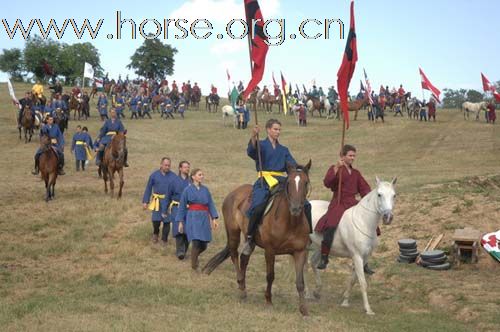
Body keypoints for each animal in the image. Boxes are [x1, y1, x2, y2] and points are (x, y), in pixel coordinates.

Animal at [203, 161, 312, 316]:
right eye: (289, 183)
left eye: (305, 182)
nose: (296, 208)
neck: (290, 222)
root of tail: (234, 193)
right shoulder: (270, 251)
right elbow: (270, 275)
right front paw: (268, 301)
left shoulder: (300, 252)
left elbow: (300, 281)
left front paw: (304, 310)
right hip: (233, 233)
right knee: (234, 255)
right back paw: (241, 288)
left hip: (251, 239)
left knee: (244, 258)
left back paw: (243, 288)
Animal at [306, 178, 396, 316]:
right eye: (379, 195)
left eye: (394, 195)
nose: (388, 217)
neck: (363, 220)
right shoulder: (357, 256)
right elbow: (362, 282)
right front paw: (368, 309)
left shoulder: (364, 257)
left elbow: (354, 279)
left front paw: (345, 300)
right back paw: (306, 292)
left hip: (319, 247)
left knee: (312, 263)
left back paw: (316, 291)